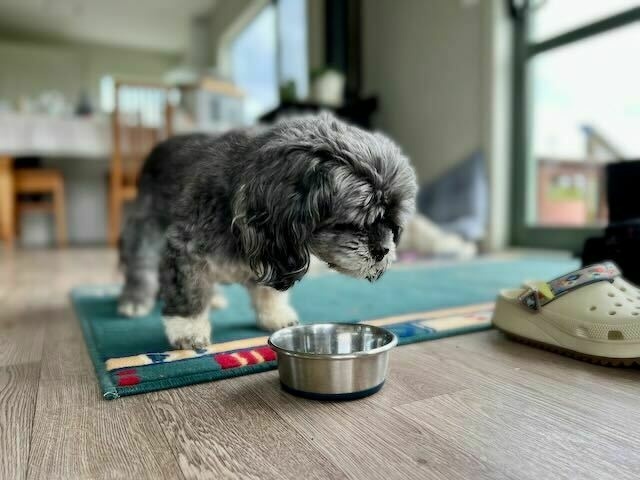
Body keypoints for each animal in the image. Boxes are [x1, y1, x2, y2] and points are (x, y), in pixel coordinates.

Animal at [119, 115, 420, 350]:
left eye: (393, 224)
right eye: (355, 220)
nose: (383, 250)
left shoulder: (271, 255)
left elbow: (268, 291)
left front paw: (275, 314)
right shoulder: (185, 248)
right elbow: (188, 290)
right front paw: (188, 329)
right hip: (143, 229)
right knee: (140, 266)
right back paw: (135, 299)